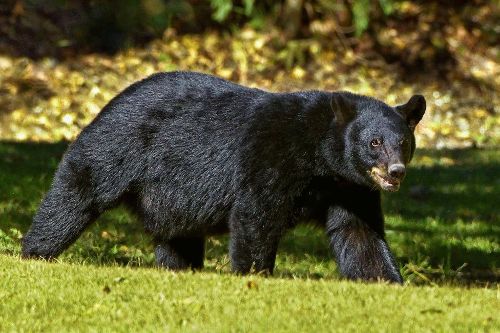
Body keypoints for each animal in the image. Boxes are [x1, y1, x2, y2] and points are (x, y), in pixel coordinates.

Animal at [22, 71, 426, 282]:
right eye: (374, 142)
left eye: (403, 143)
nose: (395, 171)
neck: (320, 159)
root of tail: (110, 100)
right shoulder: (272, 157)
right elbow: (256, 216)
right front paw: (255, 275)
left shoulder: (349, 187)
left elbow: (359, 233)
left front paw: (386, 280)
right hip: (116, 147)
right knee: (76, 193)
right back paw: (35, 252)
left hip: (171, 198)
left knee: (177, 237)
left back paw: (180, 269)